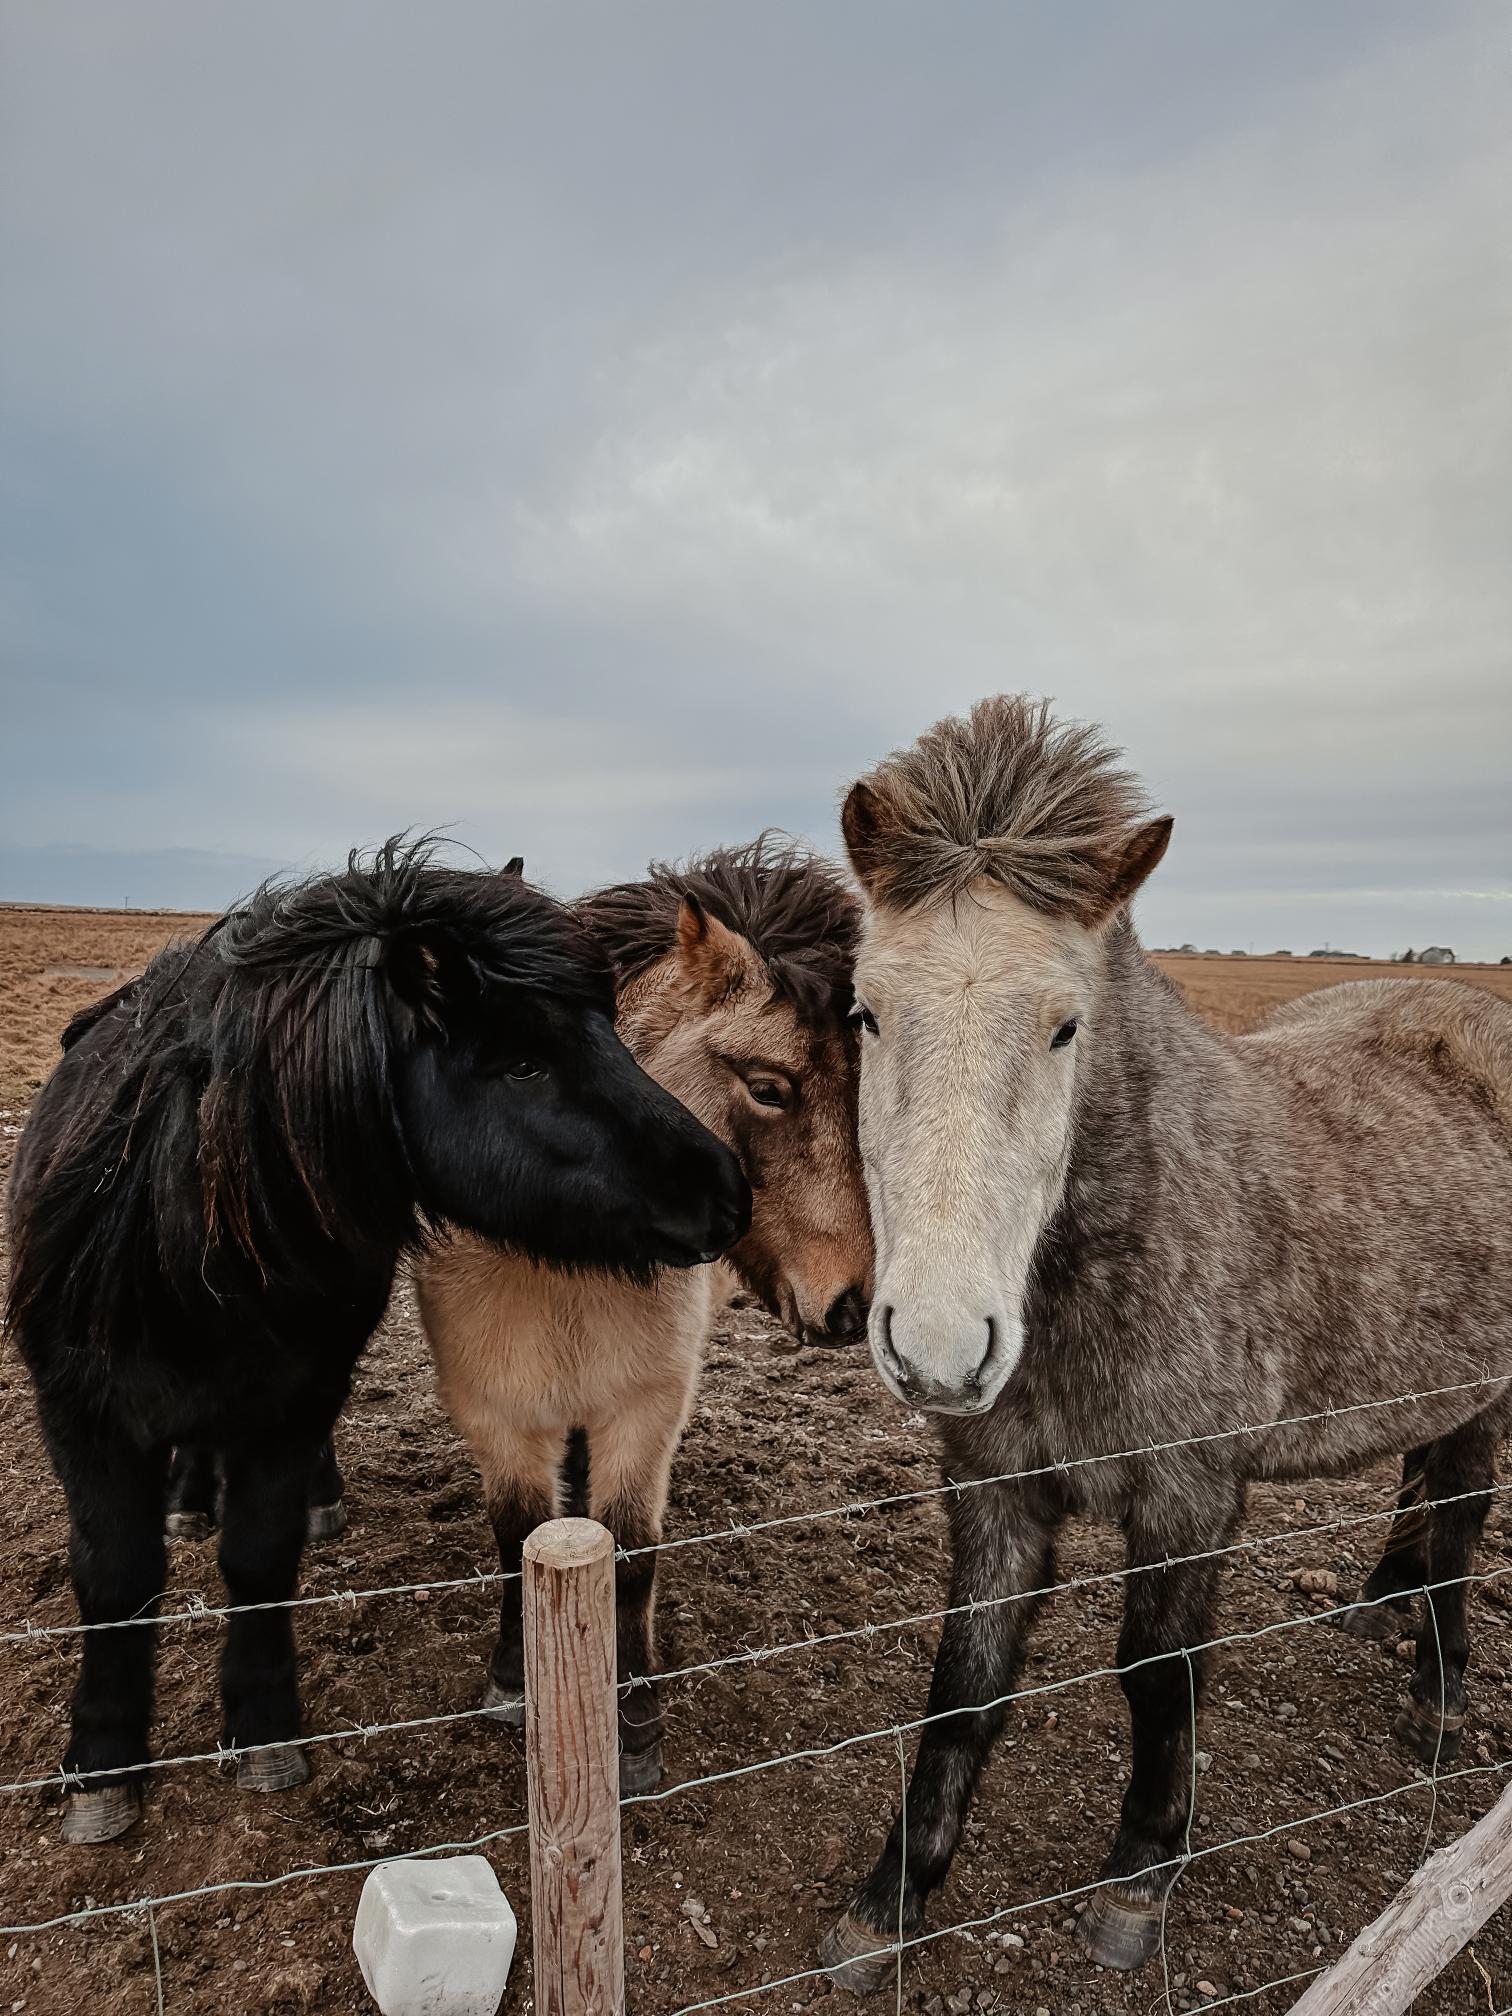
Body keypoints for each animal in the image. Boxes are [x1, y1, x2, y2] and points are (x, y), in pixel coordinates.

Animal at [4, 834, 753, 1846]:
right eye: (523, 1064)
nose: (728, 1191)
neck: (182, 1231)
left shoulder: (292, 1402)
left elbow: (259, 1556)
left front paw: (263, 1728)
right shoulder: (81, 1416)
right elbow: (115, 1581)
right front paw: (103, 1766)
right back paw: (188, 1500)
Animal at [421, 842, 874, 1790]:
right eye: (770, 1089)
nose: (852, 1303)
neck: (561, 1260)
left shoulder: (647, 1406)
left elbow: (628, 1550)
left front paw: (631, 1720)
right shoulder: (494, 1410)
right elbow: (519, 1536)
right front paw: (513, 1680)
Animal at [822, 697, 1512, 1983]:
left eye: (1065, 1028)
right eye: (866, 1010)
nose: (937, 1346)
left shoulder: (1188, 1494)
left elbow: (1156, 1675)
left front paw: (1140, 1877)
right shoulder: (992, 1480)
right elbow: (965, 1681)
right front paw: (889, 1898)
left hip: (1490, 1387)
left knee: (1461, 1511)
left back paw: (1439, 1694)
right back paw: (1381, 1601)